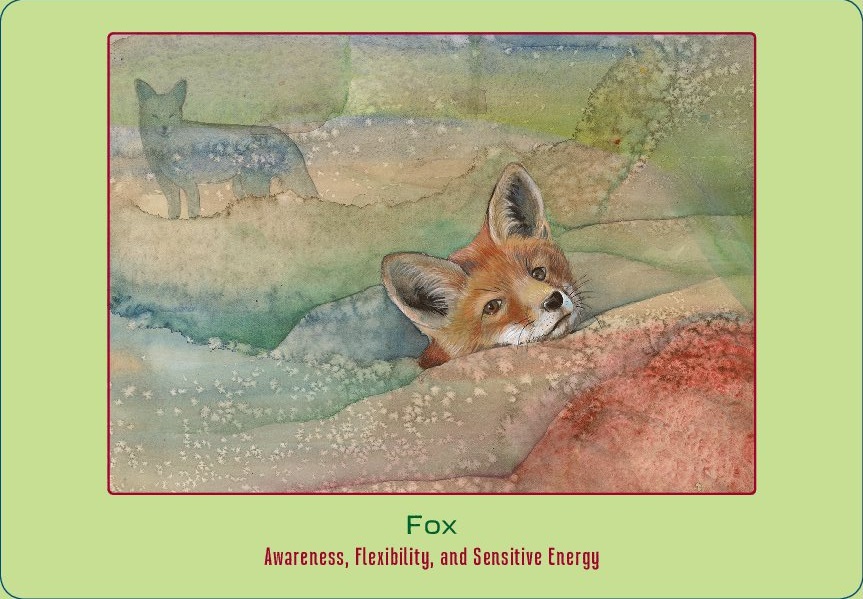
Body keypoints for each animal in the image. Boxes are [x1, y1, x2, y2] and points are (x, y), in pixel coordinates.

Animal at [134, 79, 318, 219]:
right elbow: (173, 211)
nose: (164, 128)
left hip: (254, 184)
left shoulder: (188, 183)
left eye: (171, 115)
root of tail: (284, 136)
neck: (161, 150)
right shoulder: (168, 185)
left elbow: (193, 210)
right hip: (241, 186)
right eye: (154, 115)